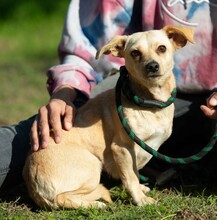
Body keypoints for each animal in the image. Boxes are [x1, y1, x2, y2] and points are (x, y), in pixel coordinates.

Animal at [22, 25, 194, 208]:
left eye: (162, 48)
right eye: (135, 53)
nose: (152, 66)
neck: (150, 103)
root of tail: (33, 185)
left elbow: (134, 172)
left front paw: (141, 189)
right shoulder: (122, 148)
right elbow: (131, 177)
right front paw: (140, 199)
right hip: (91, 166)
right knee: (62, 197)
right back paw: (96, 204)